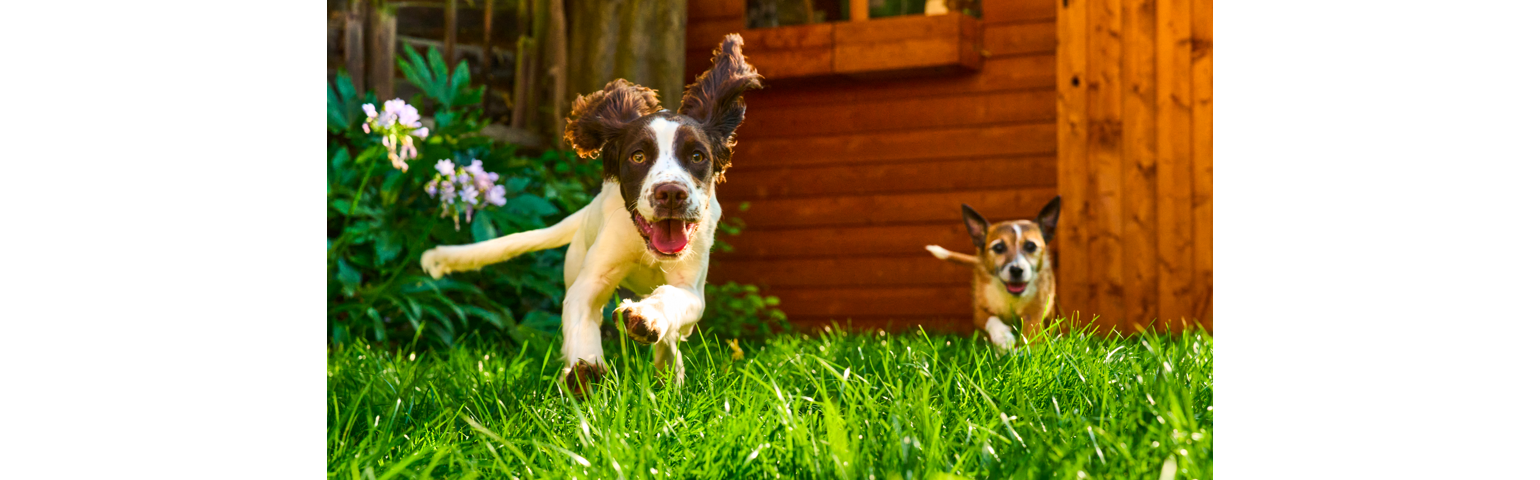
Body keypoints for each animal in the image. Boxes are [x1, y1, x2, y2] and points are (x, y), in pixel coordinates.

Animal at [924, 196, 1059, 350]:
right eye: (998, 247)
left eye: (1031, 246)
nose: (1016, 270)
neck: (1010, 296)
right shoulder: (979, 312)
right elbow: (991, 319)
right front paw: (1003, 338)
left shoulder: (1035, 313)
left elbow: (1031, 333)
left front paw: (1023, 351)